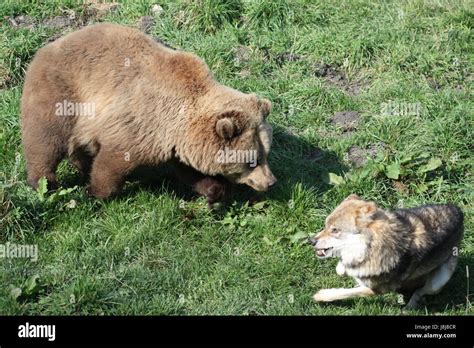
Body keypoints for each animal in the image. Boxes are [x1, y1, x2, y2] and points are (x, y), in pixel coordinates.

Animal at [20, 23, 276, 203]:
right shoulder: (140, 123)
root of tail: (46, 48)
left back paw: (82, 164)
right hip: (61, 92)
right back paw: (45, 182)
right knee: (46, 139)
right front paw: (94, 192)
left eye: (265, 153)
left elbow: (190, 170)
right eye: (252, 160)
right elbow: (113, 161)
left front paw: (215, 191)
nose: (271, 182)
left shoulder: (176, 140)